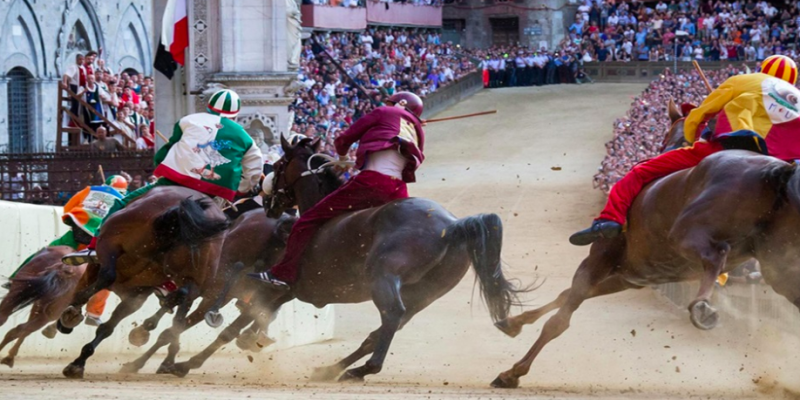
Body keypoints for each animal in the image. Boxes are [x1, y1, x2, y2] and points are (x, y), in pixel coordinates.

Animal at [55, 188, 230, 378]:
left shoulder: (111, 280)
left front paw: (70, 318)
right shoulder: (136, 296)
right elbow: (107, 328)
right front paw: (79, 361)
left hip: (109, 242)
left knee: (107, 276)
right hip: (197, 276)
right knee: (183, 295)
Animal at [166, 138, 528, 382]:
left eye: (279, 165)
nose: (263, 195)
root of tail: (451, 225)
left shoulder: (271, 289)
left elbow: (229, 330)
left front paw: (185, 364)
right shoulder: (281, 293)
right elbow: (240, 326)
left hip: (384, 277)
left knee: (391, 315)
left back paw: (365, 368)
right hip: (425, 293)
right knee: (382, 329)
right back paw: (335, 367)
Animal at [490, 148, 800, 388]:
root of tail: (777, 170)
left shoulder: (601, 257)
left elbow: (560, 319)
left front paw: (511, 373)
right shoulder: (632, 276)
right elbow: (567, 295)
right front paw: (512, 323)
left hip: (685, 233)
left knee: (716, 254)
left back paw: (701, 307)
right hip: (778, 265)